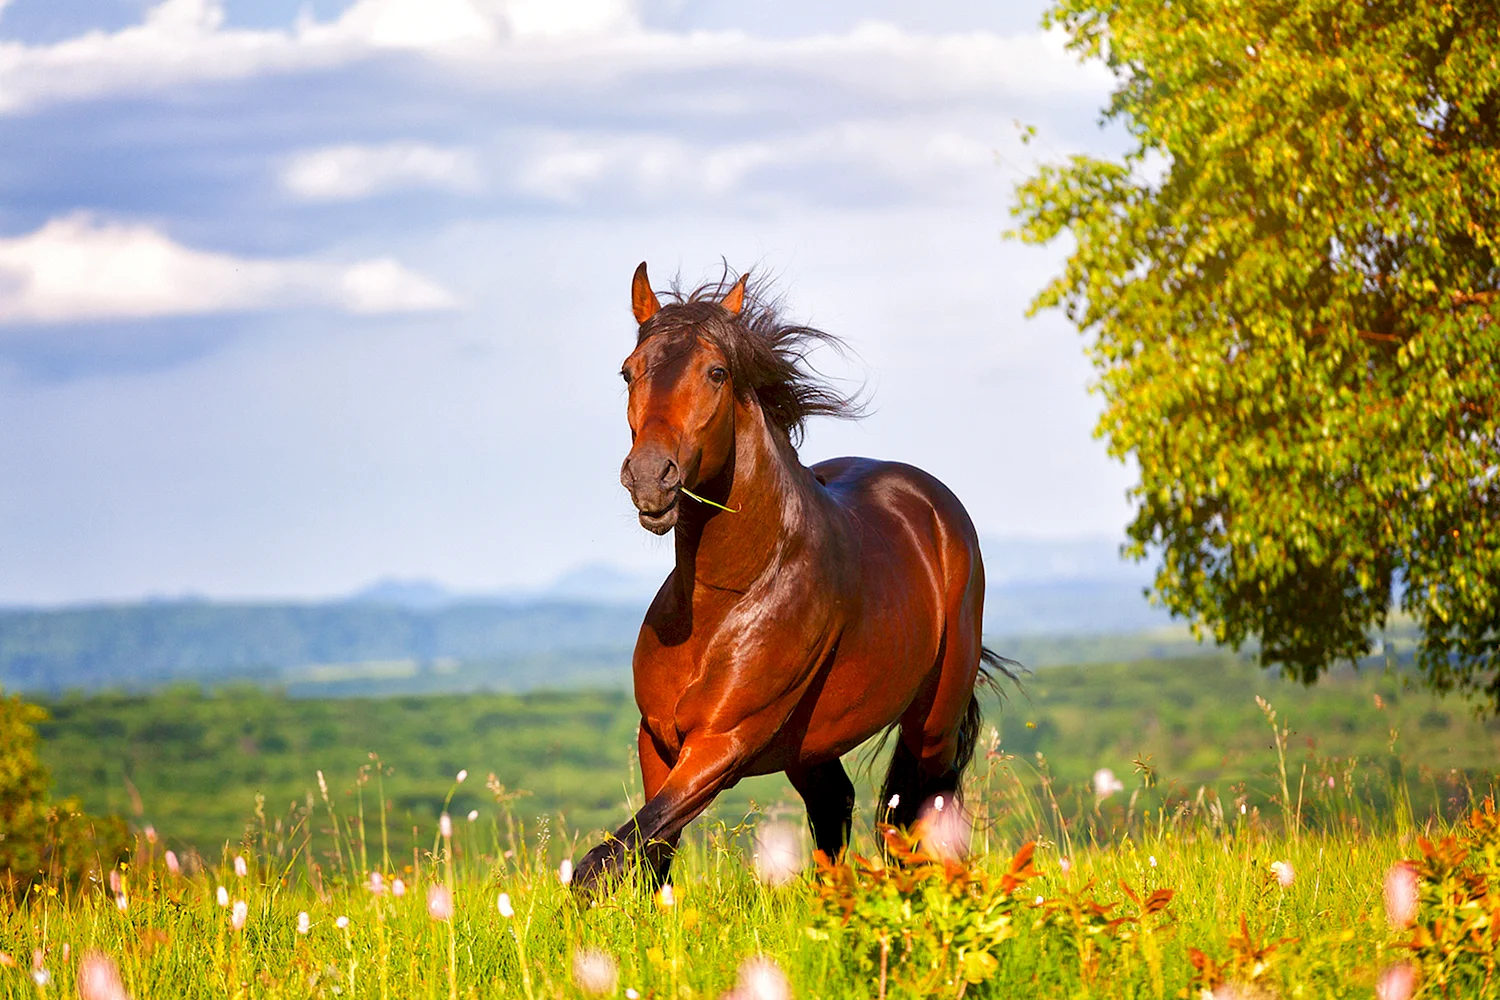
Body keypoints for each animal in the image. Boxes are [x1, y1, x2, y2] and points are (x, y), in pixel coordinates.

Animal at [574, 263, 1011, 891]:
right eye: (629, 371)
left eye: (716, 372)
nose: (651, 478)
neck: (724, 599)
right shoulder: (657, 741)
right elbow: (648, 852)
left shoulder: (721, 745)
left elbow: (607, 857)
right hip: (812, 745)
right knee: (837, 805)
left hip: (933, 721)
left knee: (921, 810)